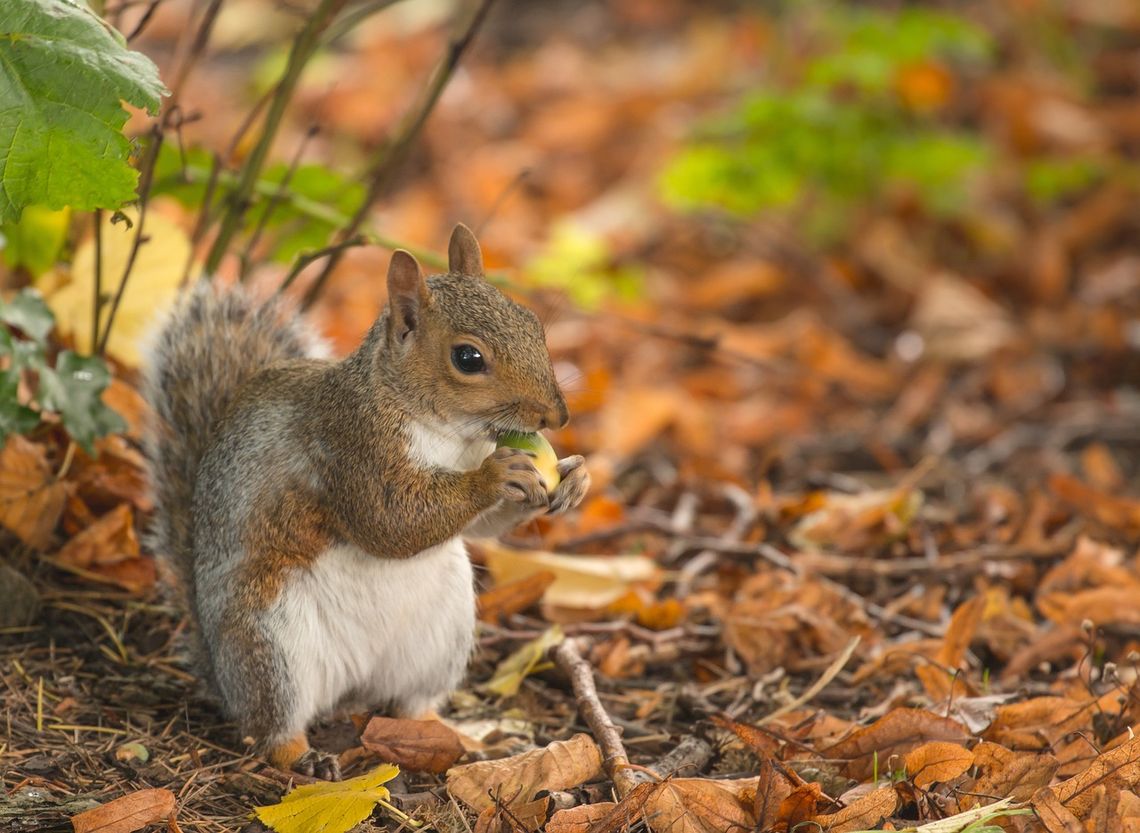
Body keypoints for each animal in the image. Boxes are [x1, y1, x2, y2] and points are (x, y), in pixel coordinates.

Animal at [141, 224, 588, 779]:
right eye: (468, 358)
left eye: (533, 324)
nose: (557, 417)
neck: (444, 431)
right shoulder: (349, 447)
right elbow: (389, 521)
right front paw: (495, 475)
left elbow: (480, 529)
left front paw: (574, 477)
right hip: (271, 643)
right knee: (272, 725)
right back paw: (303, 756)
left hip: (439, 638)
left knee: (412, 704)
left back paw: (460, 735)